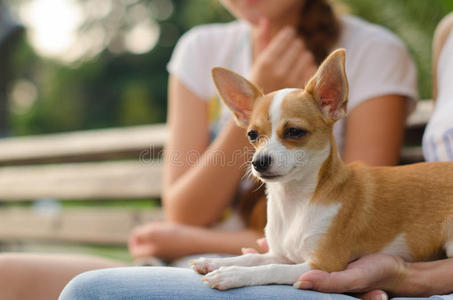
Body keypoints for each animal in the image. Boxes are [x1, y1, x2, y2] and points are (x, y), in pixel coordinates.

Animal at [189, 49, 452, 290]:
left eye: (295, 132)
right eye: (252, 135)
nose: (259, 161)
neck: (296, 203)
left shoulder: (322, 264)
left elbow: (269, 269)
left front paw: (231, 274)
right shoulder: (281, 254)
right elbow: (253, 258)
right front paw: (215, 262)